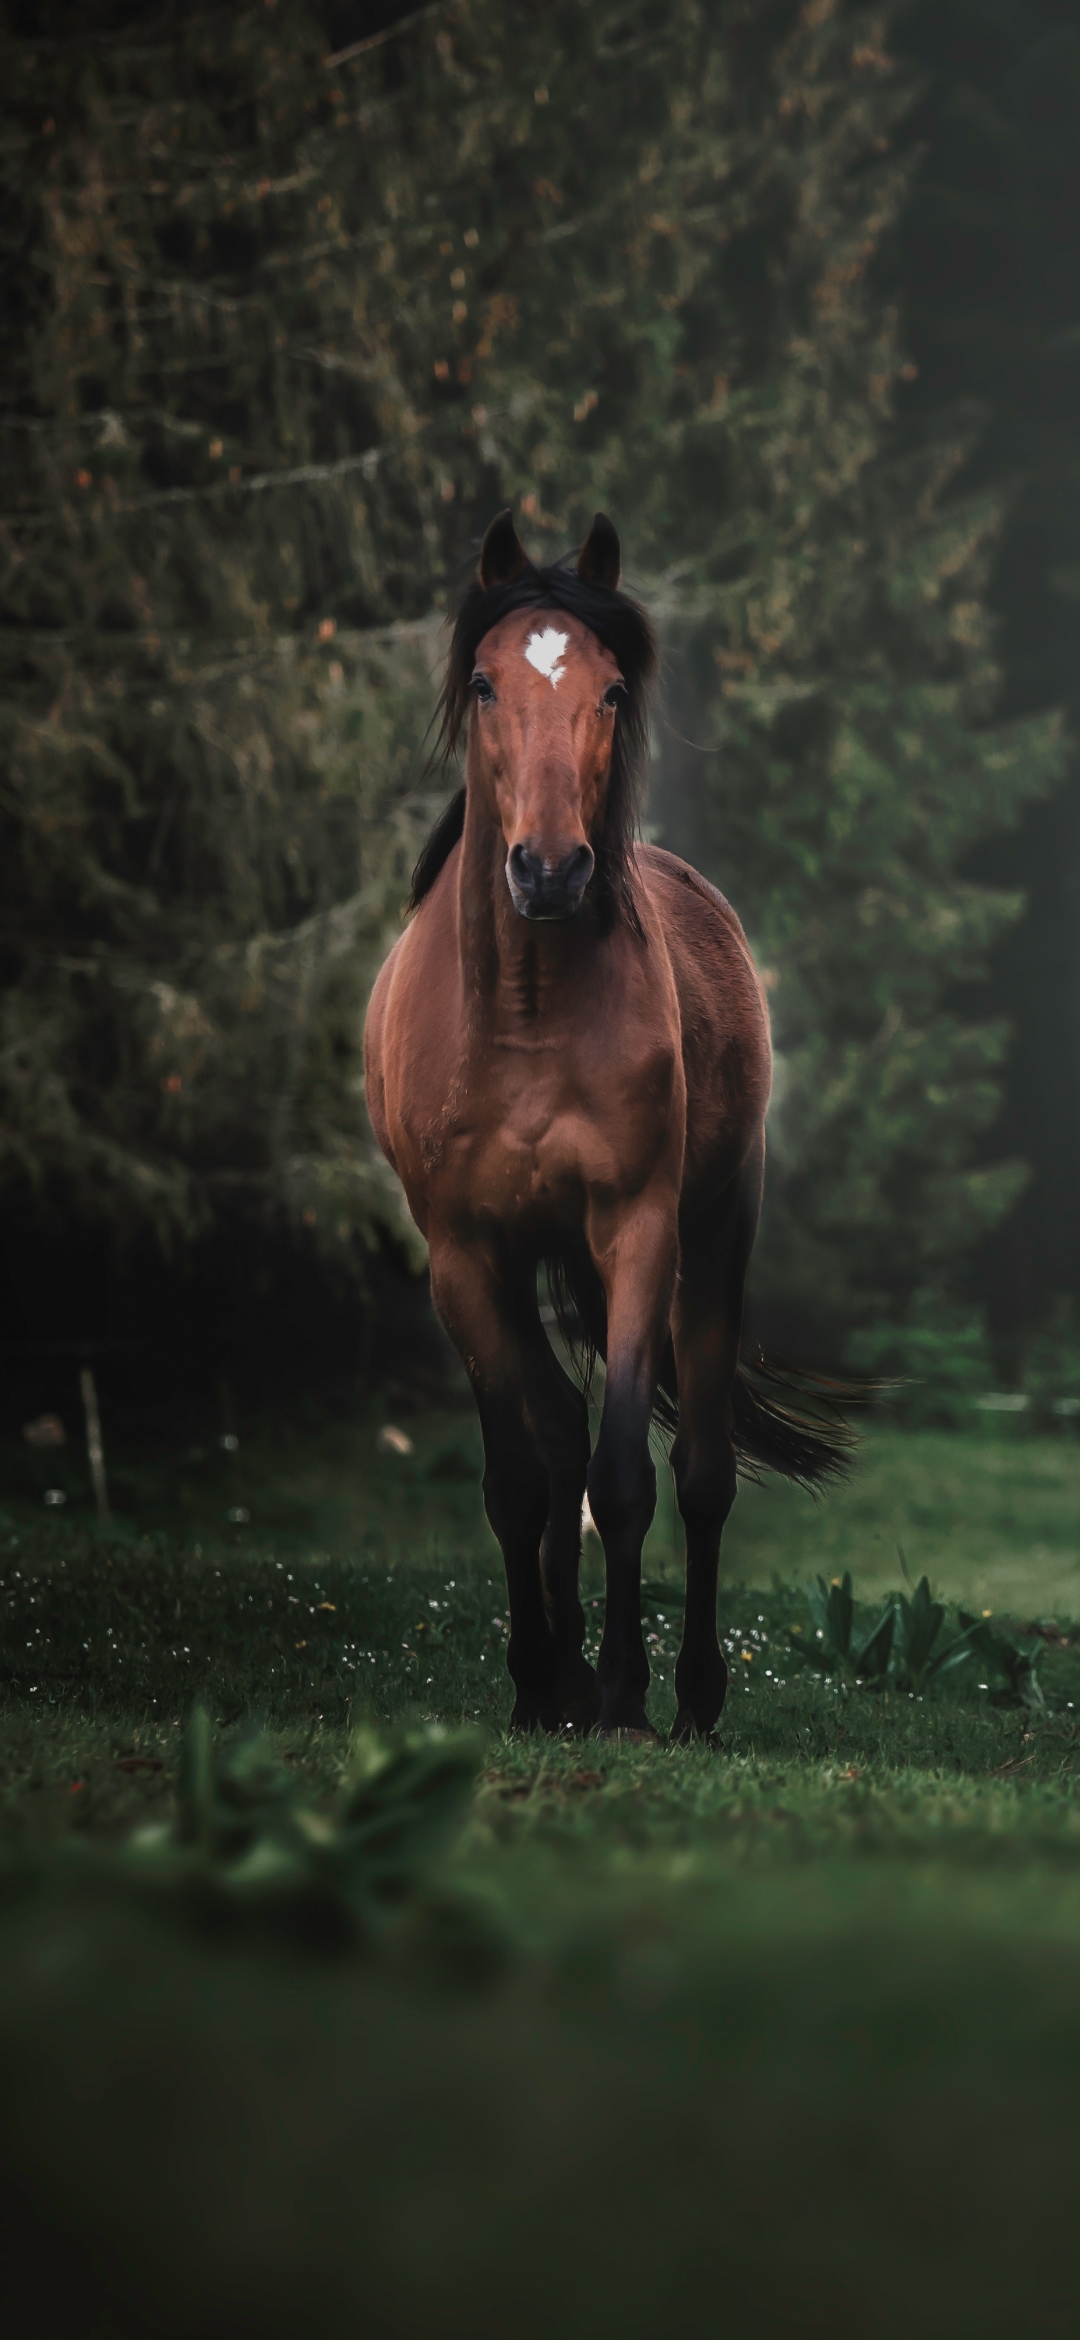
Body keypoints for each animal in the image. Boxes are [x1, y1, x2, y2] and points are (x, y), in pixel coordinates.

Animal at [367, 507, 846, 1740]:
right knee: (553, 1431)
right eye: (485, 683)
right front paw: (543, 1682)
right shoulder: (465, 1256)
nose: (548, 869)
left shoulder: (637, 1233)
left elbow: (627, 1475)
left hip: (716, 1236)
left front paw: (626, 1694)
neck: (527, 1013)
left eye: (613, 689)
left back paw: (691, 1699)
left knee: (701, 1470)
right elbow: (521, 1477)